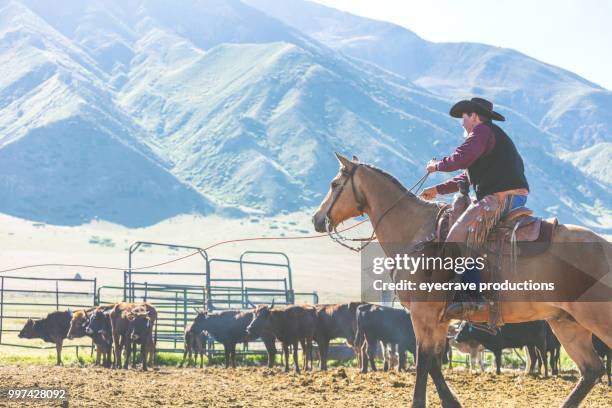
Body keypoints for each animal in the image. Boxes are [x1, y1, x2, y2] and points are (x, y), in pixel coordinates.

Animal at [314, 154, 612, 408]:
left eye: (334, 184)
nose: (317, 219)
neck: (418, 233)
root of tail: (605, 246)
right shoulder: (439, 319)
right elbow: (434, 360)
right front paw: (451, 402)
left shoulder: (423, 315)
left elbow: (423, 361)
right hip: (566, 322)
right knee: (591, 369)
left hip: (595, 318)